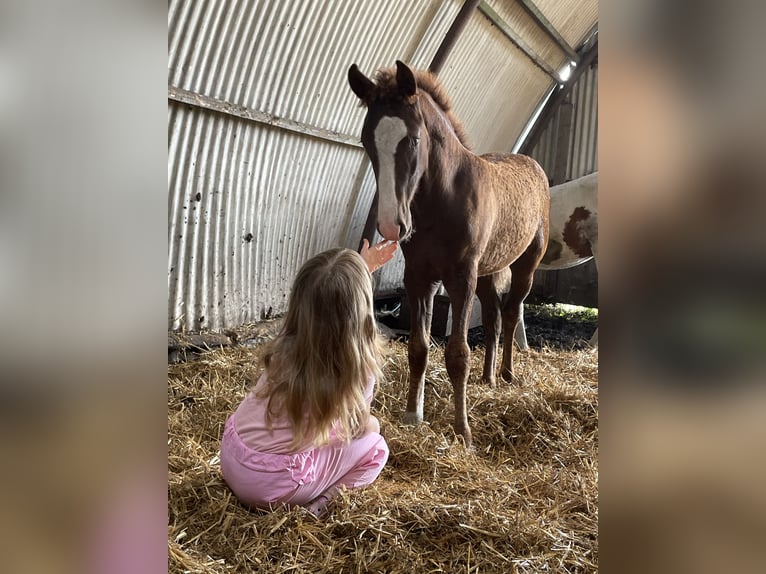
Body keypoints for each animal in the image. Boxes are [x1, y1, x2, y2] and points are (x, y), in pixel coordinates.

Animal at [348, 63, 552, 450]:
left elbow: (458, 353)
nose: (391, 225)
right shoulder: (419, 277)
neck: (441, 200)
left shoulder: (461, 278)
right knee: (493, 319)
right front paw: (412, 415)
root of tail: (534, 165)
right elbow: (418, 347)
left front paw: (463, 431)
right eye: (367, 141)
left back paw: (506, 374)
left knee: (511, 312)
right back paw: (488, 378)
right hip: (487, 271)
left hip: (525, 265)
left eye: (413, 139)